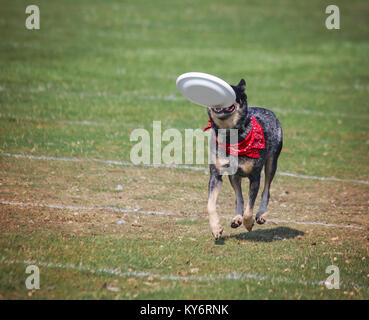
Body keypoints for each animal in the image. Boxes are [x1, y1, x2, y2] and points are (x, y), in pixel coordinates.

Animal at [204, 79, 282, 239]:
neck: (230, 135)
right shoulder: (216, 175)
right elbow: (210, 205)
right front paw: (216, 228)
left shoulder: (255, 176)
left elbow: (249, 208)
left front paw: (249, 223)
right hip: (233, 176)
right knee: (239, 196)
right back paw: (236, 218)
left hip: (272, 162)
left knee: (266, 189)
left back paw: (260, 215)